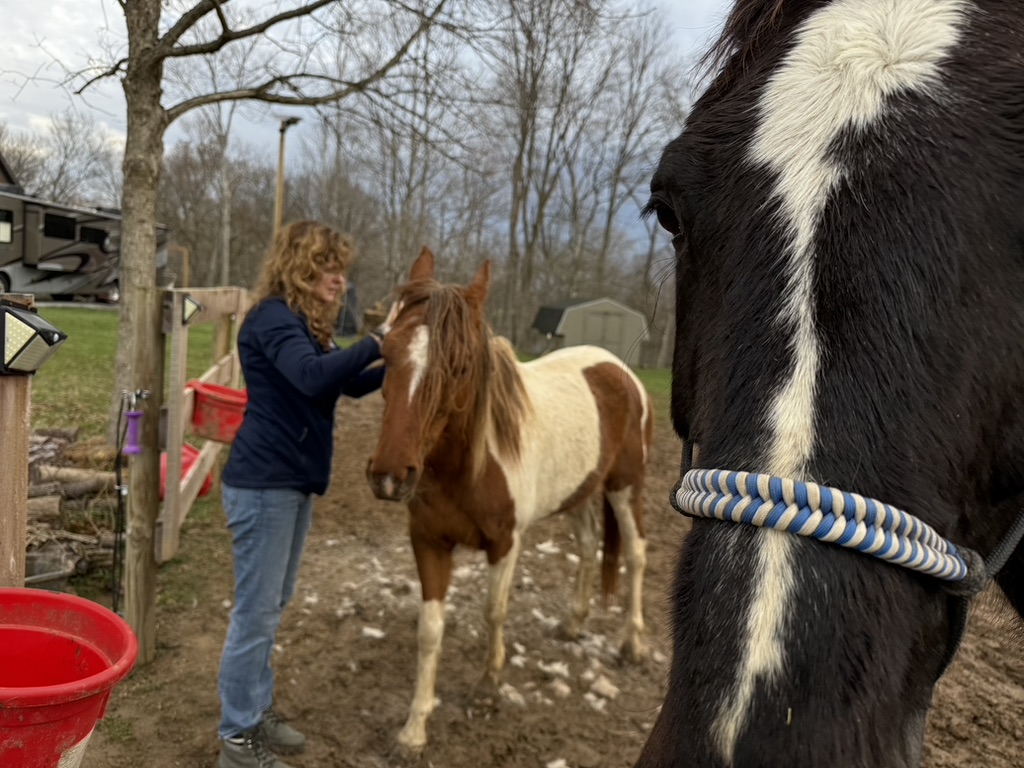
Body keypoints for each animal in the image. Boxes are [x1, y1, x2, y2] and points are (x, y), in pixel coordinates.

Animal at [365, 246, 655, 753]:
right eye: (386, 350)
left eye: (460, 363)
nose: (389, 477)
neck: (468, 467)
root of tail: (617, 369)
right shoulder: (428, 542)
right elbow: (429, 630)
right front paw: (414, 728)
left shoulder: (505, 544)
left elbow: (493, 611)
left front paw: (487, 687)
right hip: (580, 493)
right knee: (588, 546)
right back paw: (572, 624)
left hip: (625, 486)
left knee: (636, 553)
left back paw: (630, 645)